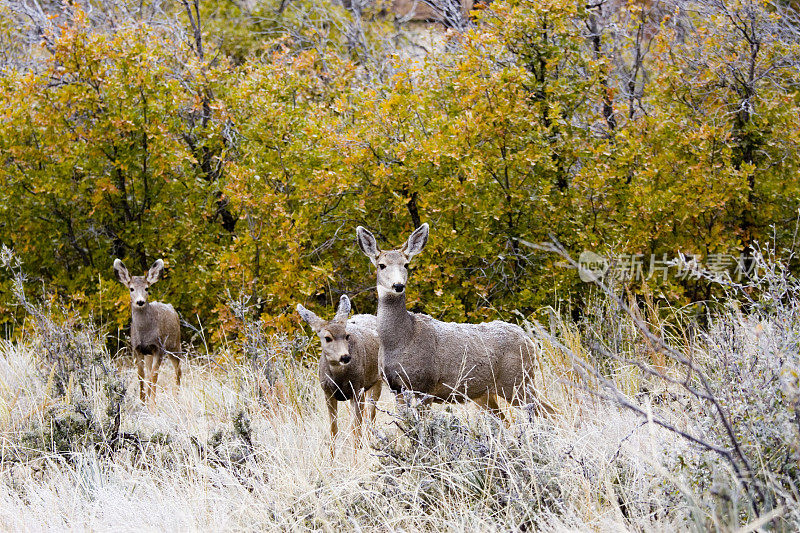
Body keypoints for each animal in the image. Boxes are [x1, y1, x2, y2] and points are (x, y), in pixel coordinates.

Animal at [112, 258, 181, 404]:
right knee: (149, 374)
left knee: (178, 369)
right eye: (131, 288)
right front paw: (143, 401)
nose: (140, 302)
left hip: (174, 345)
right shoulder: (137, 349)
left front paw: (152, 405)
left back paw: (177, 397)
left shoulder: (159, 348)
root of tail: (171, 307)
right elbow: (141, 375)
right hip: (150, 353)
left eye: (147, 288)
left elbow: (154, 376)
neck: (145, 334)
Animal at [296, 294, 382, 450]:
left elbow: (356, 431)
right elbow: (333, 430)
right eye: (327, 338)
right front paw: (331, 455)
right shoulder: (328, 393)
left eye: (347, 335)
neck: (339, 379)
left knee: (371, 416)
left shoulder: (357, 390)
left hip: (377, 381)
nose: (345, 357)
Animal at [358, 222, 556, 418]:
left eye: (406, 264)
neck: (402, 340)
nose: (398, 285)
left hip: (517, 380)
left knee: (550, 411)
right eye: (381, 265)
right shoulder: (396, 387)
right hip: (492, 390)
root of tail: (529, 340)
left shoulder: (426, 385)